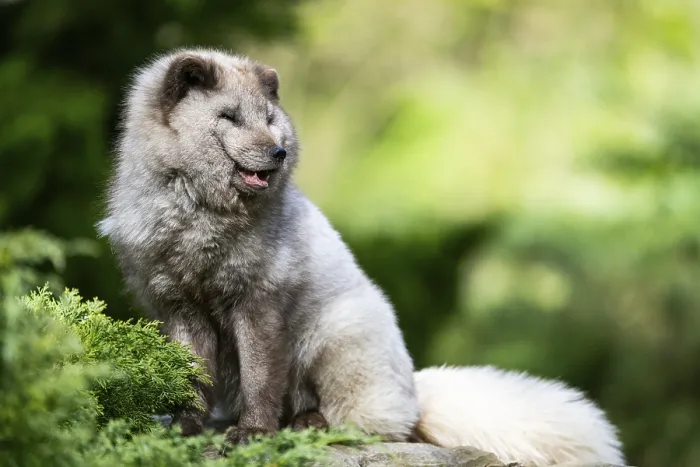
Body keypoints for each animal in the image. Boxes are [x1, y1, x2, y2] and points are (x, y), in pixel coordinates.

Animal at [97, 47, 626, 466]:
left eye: (269, 118)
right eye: (228, 117)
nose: (278, 152)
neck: (199, 217)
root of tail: (414, 391)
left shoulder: (259, 304)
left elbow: (261, 380)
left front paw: (253, 434)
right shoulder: (182, 309)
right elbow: (192, 381)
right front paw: (187, 429)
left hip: (332, 337)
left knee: (364, 424)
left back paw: (308, 424)